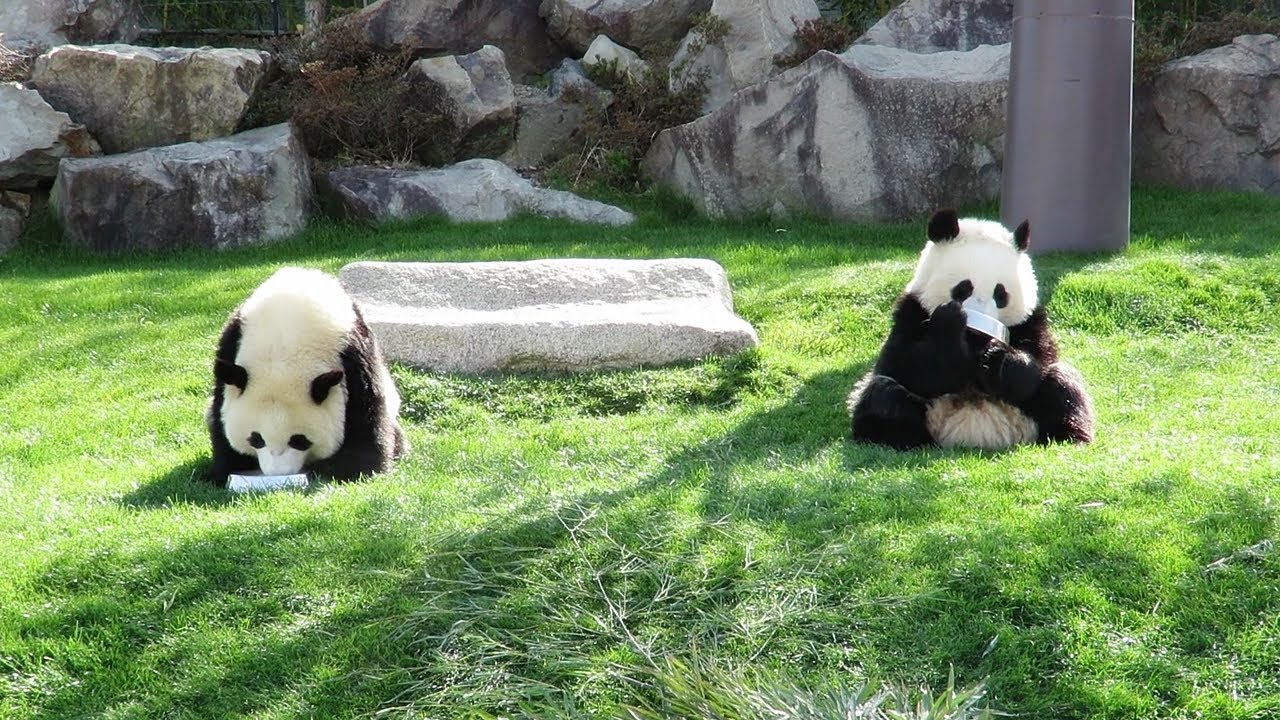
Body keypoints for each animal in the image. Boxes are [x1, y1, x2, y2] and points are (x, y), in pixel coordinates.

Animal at [205, 267, 409, 486]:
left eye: (299, 440)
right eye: (256, 438)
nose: (278, 473)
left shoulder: (354, 356)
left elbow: (365, 413)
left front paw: (353, 469)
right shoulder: (232, 343)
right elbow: (220, 413)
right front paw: (226, 469)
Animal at [848, 209, 1094, 450]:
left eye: (1000, 294)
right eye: (964, 288)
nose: (978, 327)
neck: (974, 342)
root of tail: (972, 433)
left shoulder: (1030, 320)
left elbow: (1033, 368)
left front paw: (998, 356)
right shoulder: (911, 312)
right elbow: (917, 366)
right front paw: (949, 323)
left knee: (1063, 387)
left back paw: (1068, 438)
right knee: (885, 395)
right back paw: (896, 438)